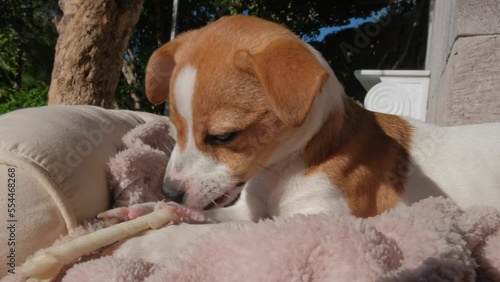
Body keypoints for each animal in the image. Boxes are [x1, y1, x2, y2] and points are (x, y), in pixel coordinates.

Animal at [99, 15, 500, 224]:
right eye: (175, 129)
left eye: (224, 136)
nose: (169, 191)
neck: (279, 169)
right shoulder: (246, 211)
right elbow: (222, 216)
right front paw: (144, 208)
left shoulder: (316, 217)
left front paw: (178, 212)